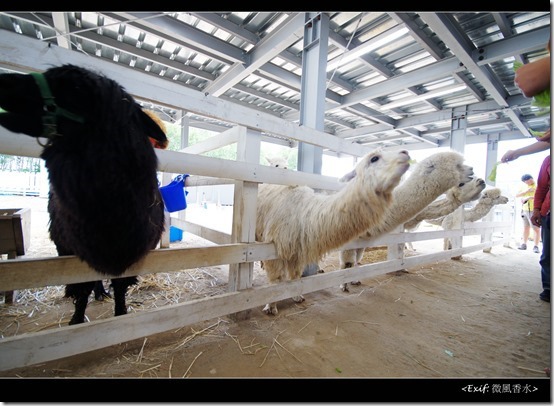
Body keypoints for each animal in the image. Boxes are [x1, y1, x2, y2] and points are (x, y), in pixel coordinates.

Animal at [0, 64, 167, 324]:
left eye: (76, 88)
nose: (4, 81)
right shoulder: (73, 251)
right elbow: (83, 286)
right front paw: (76, 320)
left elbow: (120, 287)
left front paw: (120, 313)